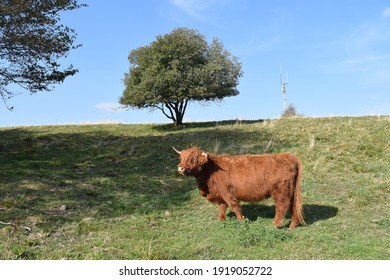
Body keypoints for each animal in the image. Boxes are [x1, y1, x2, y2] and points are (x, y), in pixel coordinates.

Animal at [174, 145, 304, 229]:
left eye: (193, 159)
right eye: (182, 158)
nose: (180, 168)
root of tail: (291, 157)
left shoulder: (227, 192)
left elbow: (234, 206)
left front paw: (241, 220)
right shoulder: (220, 194)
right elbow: (222, 207)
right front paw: (221, 220)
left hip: (281, 191)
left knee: (282, 207)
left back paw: (274, 225)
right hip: (291, 191)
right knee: (293, 207)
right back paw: (292, 226)